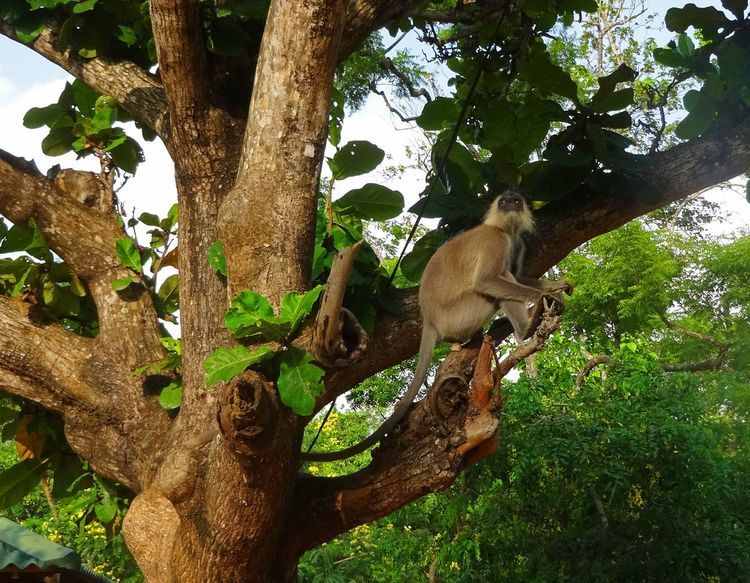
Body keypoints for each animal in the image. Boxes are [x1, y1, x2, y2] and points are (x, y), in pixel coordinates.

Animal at [302, 189, 572, 464]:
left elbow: (518, 277)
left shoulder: (516, 243)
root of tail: (430, 318)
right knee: (494, 286)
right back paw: (524, 329)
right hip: (460, 314)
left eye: (515, 201)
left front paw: (555, 286)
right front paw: (543, 295)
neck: (503, 228)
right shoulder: (495, 241)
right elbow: (488, 281)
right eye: (503, 202)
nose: (509, 205)